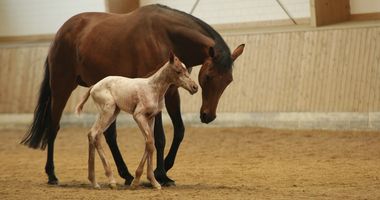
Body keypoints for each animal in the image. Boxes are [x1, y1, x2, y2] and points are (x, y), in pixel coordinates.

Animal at [75, 52, 197, 189]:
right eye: (178, 71)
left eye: (186, 69)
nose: (195, 87)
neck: (153, 89)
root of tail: (93, 86)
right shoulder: (138, 116)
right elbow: (150, 143)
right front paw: (139, 181)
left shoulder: (151, 117)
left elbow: (150, 143)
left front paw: (151, 181)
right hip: (108, 111)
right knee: (95, 134)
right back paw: (110, 180)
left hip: (112, 113)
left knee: (93, 135)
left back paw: (95, 181)